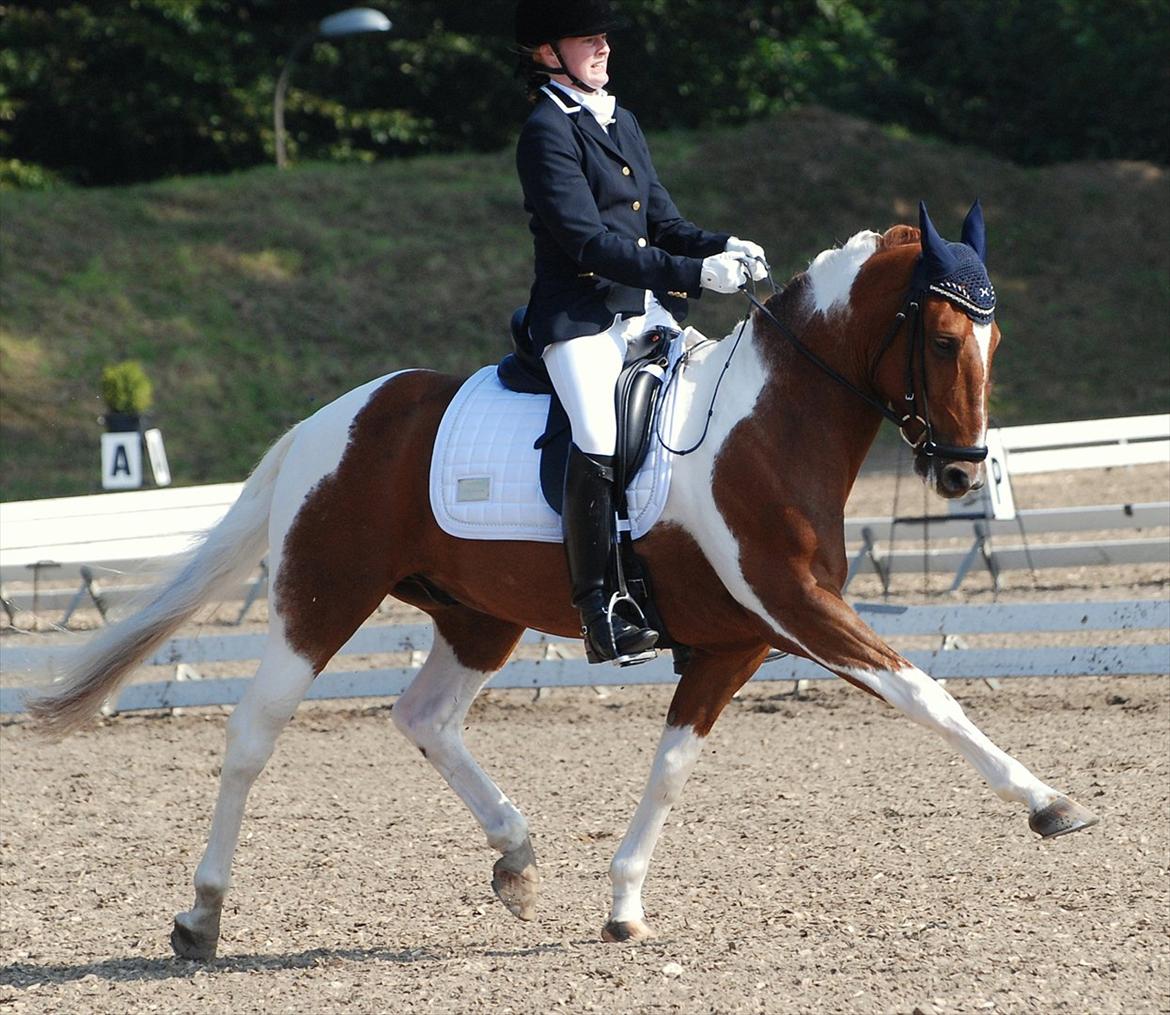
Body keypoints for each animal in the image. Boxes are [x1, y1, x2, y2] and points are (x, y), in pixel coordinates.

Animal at [27, 202, 1098, 960]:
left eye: (994, 343)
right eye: (947, 340)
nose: (963, 473)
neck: (769, 423)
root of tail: (332, 419)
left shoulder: (736, 639)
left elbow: (673, 765)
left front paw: (623, 903)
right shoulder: (798, 610)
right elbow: (923, 691)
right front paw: (1049, 801)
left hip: (477, 617)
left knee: (424, 716)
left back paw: (516, 855)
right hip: (319, 597)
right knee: (254, 732)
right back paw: (200, 916)